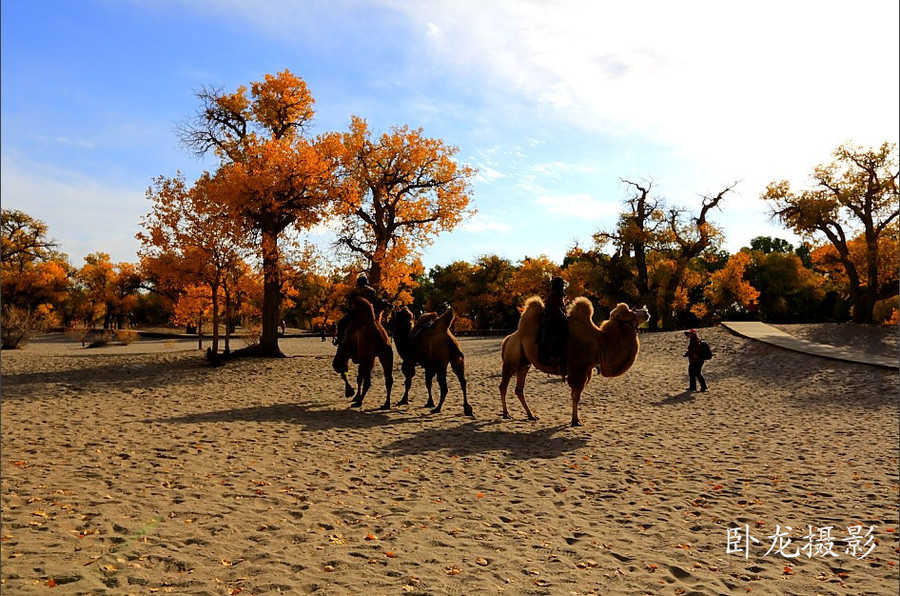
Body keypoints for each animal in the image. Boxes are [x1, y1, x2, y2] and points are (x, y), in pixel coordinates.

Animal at [500, 296, 648, 426]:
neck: (600, 343)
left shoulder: (586, 369)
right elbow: (575, 396)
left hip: (524, 363)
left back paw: (531, 415)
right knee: (503, 385)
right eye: (630, 312)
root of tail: (509, 337)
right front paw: (575, 421)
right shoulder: (578, 369)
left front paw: (575, 420)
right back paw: (506, 414)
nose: (646, 312)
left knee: (519, 389)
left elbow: (576, 395)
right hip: (512, 359)